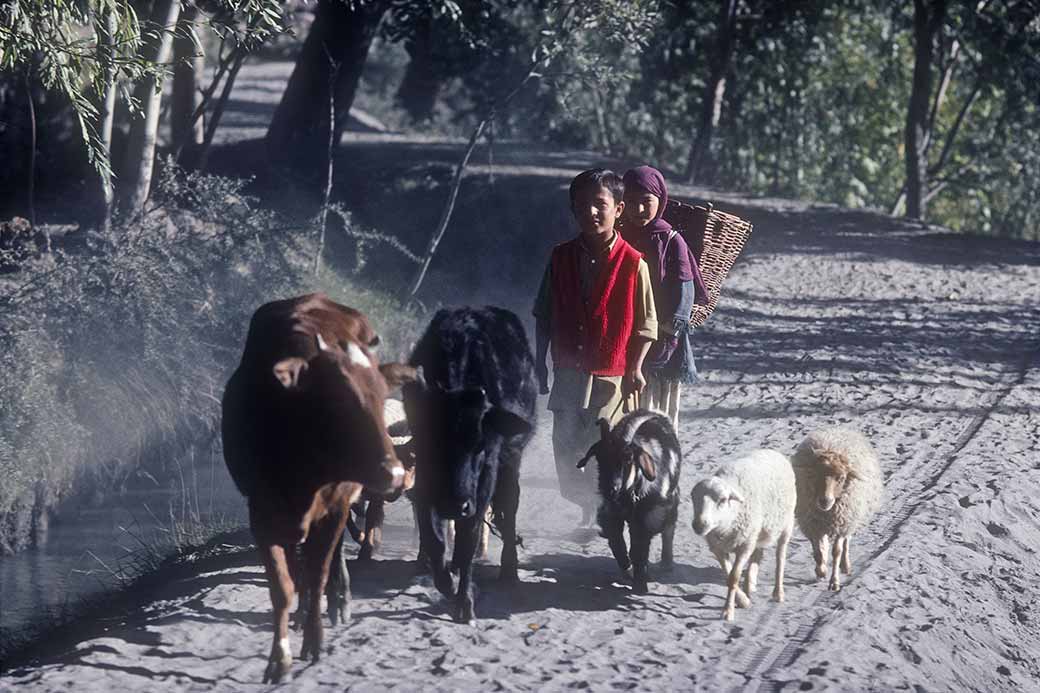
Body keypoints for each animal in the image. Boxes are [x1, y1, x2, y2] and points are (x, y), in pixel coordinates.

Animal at [221, 291, 416, 678]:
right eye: (341, 402)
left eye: (380, 396)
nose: (393, 474)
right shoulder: (261, 513)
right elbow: (283, 586)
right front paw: (279, 658)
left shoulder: (335, 507)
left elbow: (318, 573)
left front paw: (315, 640)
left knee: (330, 559)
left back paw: (339, 601)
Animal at [403, 305, 540, 624]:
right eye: (433, 444)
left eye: (480, 447)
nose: (456, 504)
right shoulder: (424, 478)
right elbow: (434, 537)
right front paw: (444, 579)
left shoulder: (485, 479)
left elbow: (469, 538)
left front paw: (464, 602)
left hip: (511, 462)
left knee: (509, 508)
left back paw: (509, 571)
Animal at [578, 407, 682, 591]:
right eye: (599, 457)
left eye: (628, 459)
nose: (609, 489)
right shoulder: (610, 513)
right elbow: (617, 542)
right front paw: (627, 569)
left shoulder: (649, 516)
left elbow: (639, 547)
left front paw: (641, 583)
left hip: (671, 501)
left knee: (669, 529)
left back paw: (666, 563)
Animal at [690, 447, 794, 620]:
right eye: (693, 498)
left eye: (723, 500)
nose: (699, 525)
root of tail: (771, 450)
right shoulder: (717, 548)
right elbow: (728, 575)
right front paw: (743, 601)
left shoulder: (744, 546)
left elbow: (733, 577)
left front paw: (728, 611)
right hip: (757, 531)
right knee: (758, 553)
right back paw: (749, 584)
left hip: (786, 523)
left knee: (780, 557)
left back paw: (778, 592)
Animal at [790, 424, 881, 591]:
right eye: (813, 475)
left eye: (841, 478)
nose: (825, 501)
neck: (827, 513)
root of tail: (837, 429)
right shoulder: (813, 525)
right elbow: (818, 552)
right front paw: (821, 571)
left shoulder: (841, 524)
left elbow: (837, 552)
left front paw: (834, 582)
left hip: (850, 518)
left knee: (846, 543)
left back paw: (845, 566)